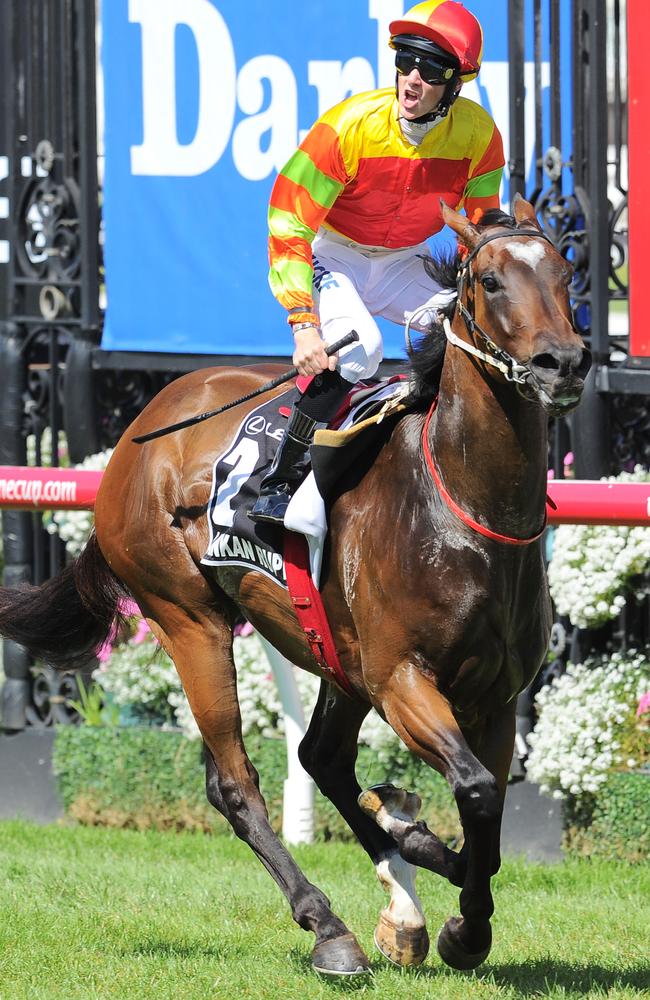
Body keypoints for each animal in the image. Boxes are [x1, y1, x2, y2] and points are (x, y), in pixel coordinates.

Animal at [0, 195, 588, 976]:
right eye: (490, 280)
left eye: (565, 270)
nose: (565, 361)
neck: (463, 506)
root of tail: (139, 430)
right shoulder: (402, 678)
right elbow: (475, 790)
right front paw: (459, 919)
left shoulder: (494, 698)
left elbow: (484, 810)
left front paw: (447, 891)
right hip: (189, 619)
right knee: (234, 783)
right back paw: (329, 925)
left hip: (336, 659)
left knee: (322, 758)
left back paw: (398, 883)